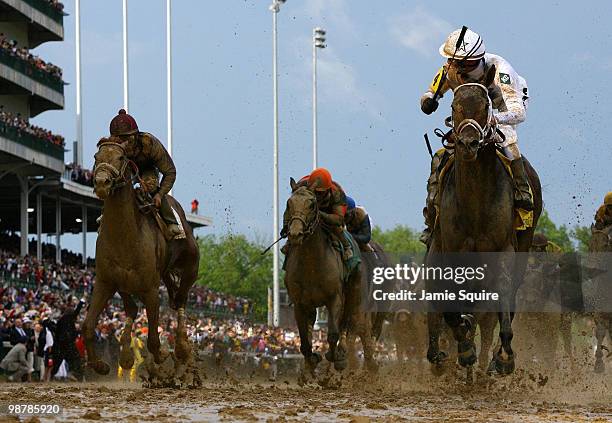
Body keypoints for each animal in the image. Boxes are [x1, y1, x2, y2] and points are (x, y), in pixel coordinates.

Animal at [82, 138, 198, 374]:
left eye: (120, 157)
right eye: (97, 157)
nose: (101, 182)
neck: (126, 237)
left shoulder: (151, 289)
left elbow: (153, 337)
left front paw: (163, 354)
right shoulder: (105, 283)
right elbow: (88, 325)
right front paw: (100, 365)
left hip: (190, 267)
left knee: (180, 300)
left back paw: (182, 348)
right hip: (128, 285)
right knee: (133, 309)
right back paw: (126, 355)